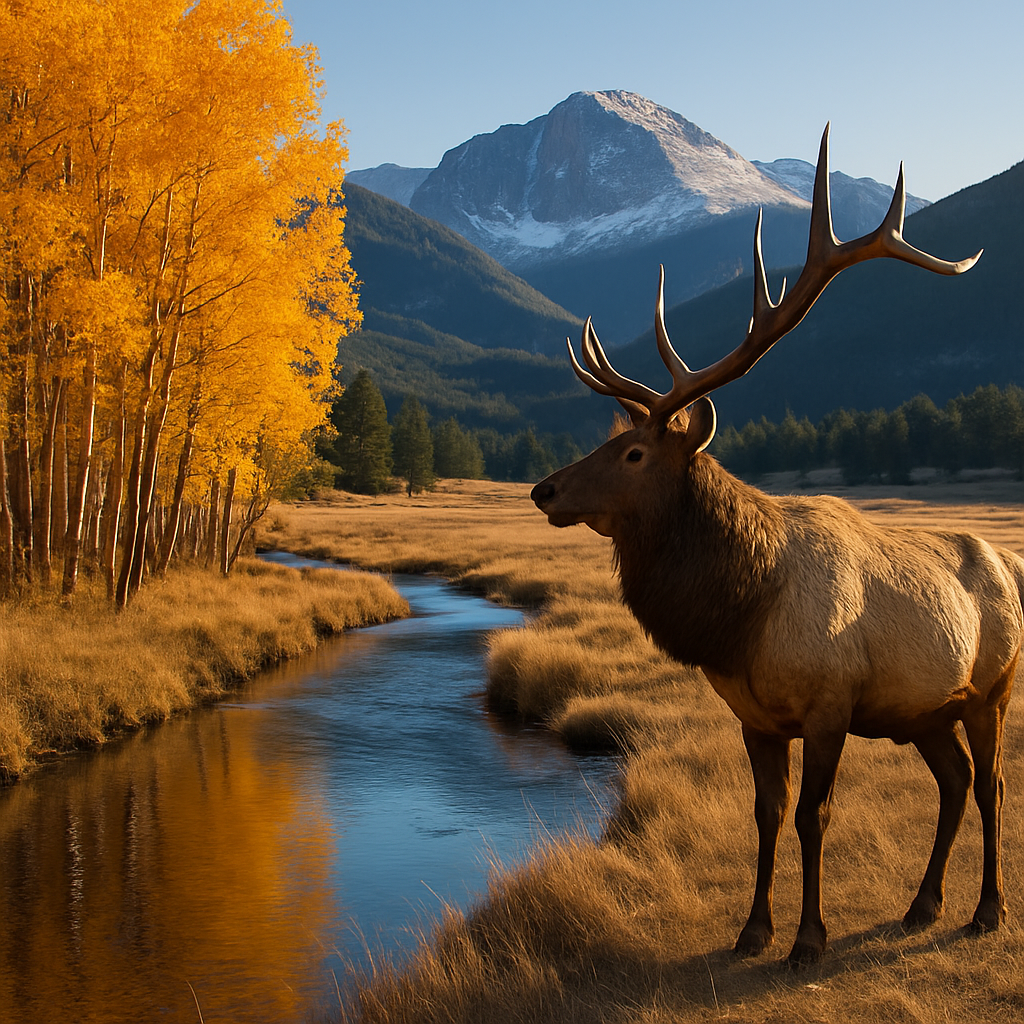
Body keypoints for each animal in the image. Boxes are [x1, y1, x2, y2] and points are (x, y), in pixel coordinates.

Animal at [531, 126, 1024, 965]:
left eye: (633, 453)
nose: (545, 490)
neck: (741, 618)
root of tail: (1012, 565)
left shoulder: (830, 703)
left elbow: (812, 817)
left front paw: (808, 939)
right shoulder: (755, 717)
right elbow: (764, 815)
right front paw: (752, 929)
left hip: (993, 686)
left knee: (989, 784)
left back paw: (986, 910)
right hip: (927, 708)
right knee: (955, 781)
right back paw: (922, 904)